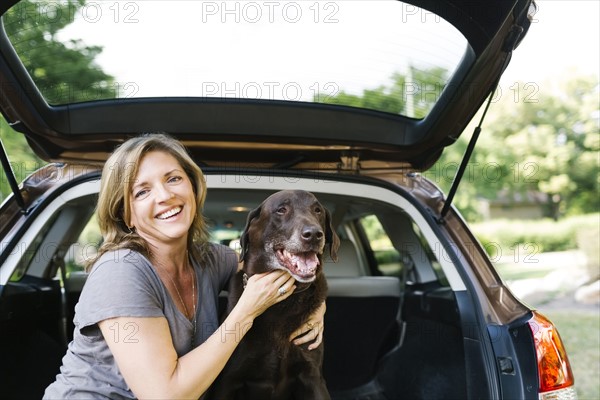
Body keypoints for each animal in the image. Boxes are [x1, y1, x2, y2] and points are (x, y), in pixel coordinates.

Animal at [207, 191, 338, 400]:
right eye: (281, 210)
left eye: (317, 210)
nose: (314, 234)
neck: (283, 303)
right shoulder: (227, 380)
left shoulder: (313, 376)